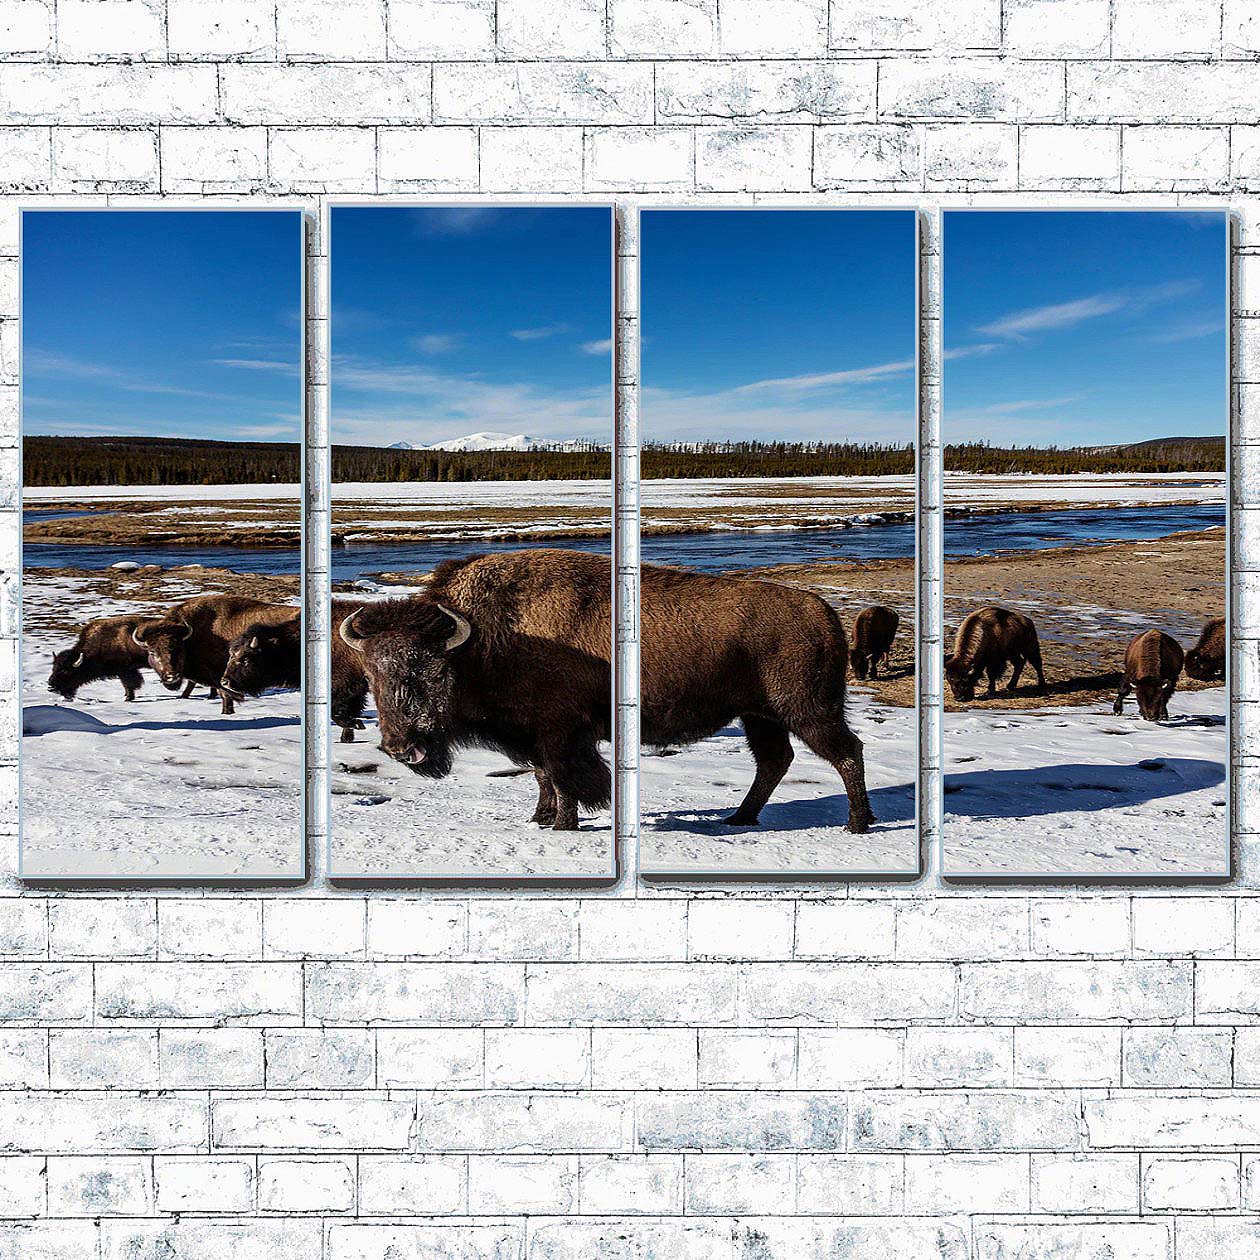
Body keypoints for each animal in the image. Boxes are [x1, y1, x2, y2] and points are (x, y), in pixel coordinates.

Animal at [132, 595, 300, 715]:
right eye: (152, 651)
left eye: (178, 648)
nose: (171, 676)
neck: (192, 636)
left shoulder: (220, 677)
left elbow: (225, 695)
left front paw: (226, 712)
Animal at [338, 549, 873, 834]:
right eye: (372, 675)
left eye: (432, 670)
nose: (400, 749)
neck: (482, 640)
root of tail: (825, 613)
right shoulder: (534, 735)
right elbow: (542, 777)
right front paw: (540, 819)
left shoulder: (559, 732)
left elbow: (562, 777)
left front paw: (562, 825)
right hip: (759, 716)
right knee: (774, 760)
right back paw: (739, 818)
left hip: (807, 710)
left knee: (846, 752)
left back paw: (857, 823)